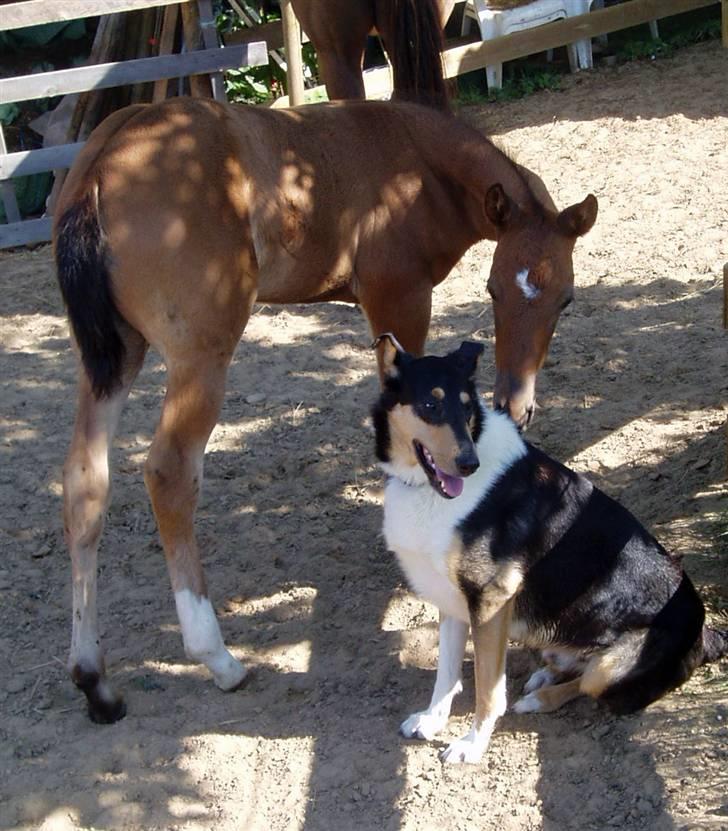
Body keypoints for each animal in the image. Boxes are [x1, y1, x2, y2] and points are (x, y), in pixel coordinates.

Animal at [54, 97, 596, 720]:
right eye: (493, 290)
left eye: (565, 300)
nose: (514, 402)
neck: (412, 159)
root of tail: (102, 161)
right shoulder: (399, 298)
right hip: (199, 358)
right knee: (169, 474)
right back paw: (217, 658)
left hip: (112, 358)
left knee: (85, 482)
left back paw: (94, 679)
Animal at [372, 334, 724, 764]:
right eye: (430, 405)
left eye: (468, 406)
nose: (469, 464)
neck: (425, 490)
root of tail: (707, 635)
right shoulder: (453, 600)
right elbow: (447, 672)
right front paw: (431, 720)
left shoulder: (491, 600)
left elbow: (489, 690)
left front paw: (472, 745)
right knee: (570, 667)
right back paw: (545, 675)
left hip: (611, 665)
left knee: (587, 684)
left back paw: (539, 698)